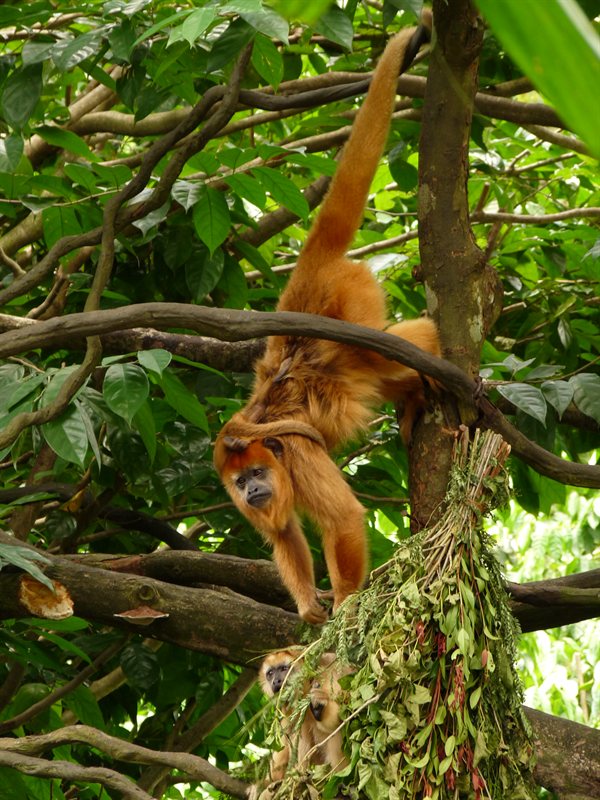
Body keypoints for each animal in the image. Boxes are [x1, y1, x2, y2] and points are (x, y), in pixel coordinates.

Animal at [215, 11, 440, 625]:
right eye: (238, 483)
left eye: (258, 474)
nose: (251, 493)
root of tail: (309, 272)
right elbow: (282, 535)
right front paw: (309, 608)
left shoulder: (296, 453)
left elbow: (341, 519)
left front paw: (344, 604)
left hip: (354, 300)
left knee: (389, 344)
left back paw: (434, 354)